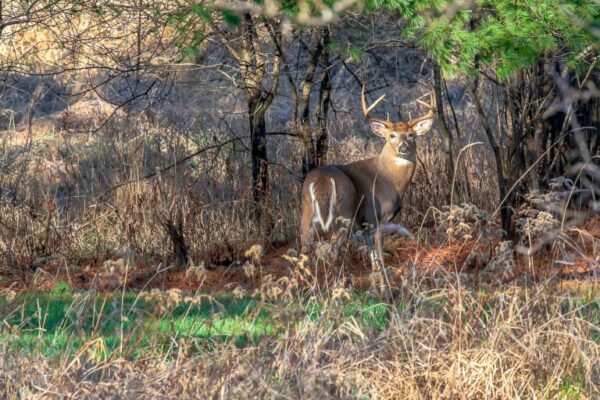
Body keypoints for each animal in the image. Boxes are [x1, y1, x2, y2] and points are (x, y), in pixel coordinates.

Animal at [302, 84, 434, 272]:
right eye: (392, 135)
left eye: (411, 134)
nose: (403, 148)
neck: (390, 178)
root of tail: (323, 180)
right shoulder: (375, 217)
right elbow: (378, 254)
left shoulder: (365, 226)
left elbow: (372, 255)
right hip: (344, 213)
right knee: (331, 252)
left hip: (307, 211)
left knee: (304, 250)